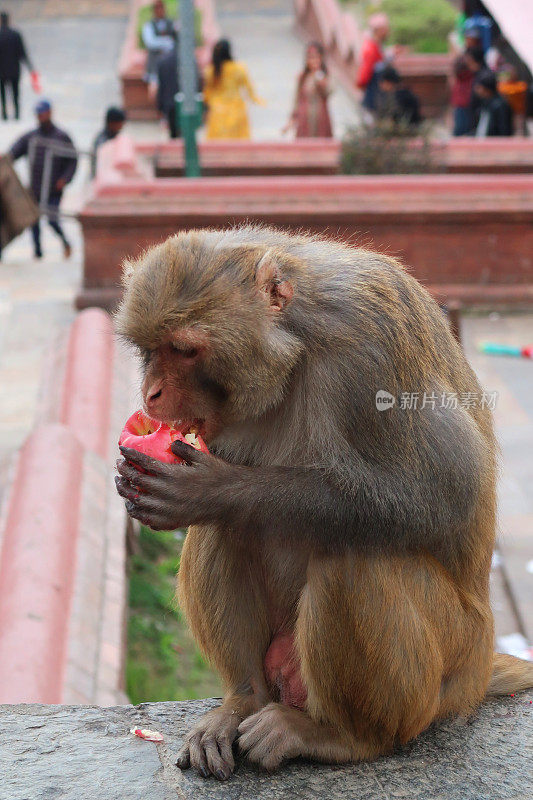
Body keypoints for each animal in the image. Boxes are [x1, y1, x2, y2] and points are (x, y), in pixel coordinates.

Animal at [115, 227, 532, 780]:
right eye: (150, 349)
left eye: (183, 350)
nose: (151, 393)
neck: (295, 347)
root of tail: (480, 668)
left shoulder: (370, 346)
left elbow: (442, 492)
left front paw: (212, 490)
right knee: (223, 530)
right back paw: (243, 702)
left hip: (450, 662)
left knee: (352, 556)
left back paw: (343, 736)